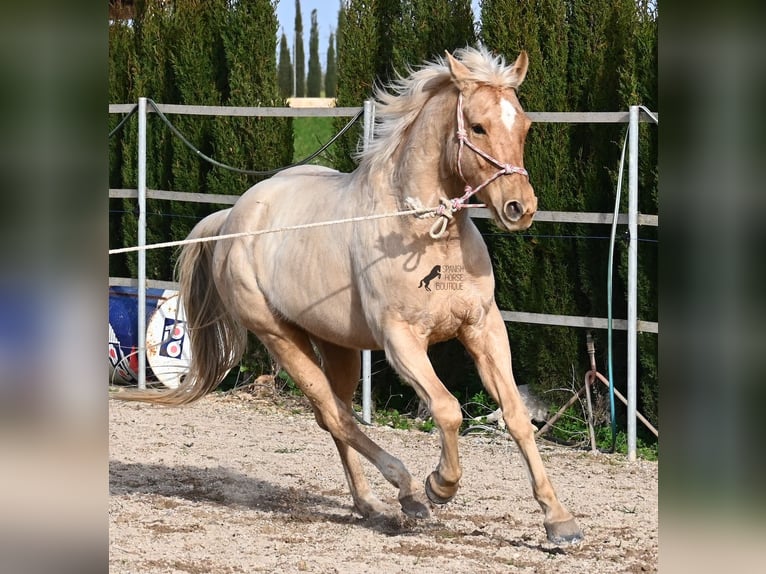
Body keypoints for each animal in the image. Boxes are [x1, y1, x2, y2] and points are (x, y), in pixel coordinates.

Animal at [120, 47, 584, 548]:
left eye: (524, 125)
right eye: (477, 127)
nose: (521, 208)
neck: (423, 230)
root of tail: (232, 218)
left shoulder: (483, 327)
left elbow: (515, 415)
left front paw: (560, 521)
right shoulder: (401, 341)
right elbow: (447, 410)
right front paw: (439, 486)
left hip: (336, 344)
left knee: (335, 416)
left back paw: (369, 503)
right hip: (279, 336)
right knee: (334, 414)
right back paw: (406, 491)